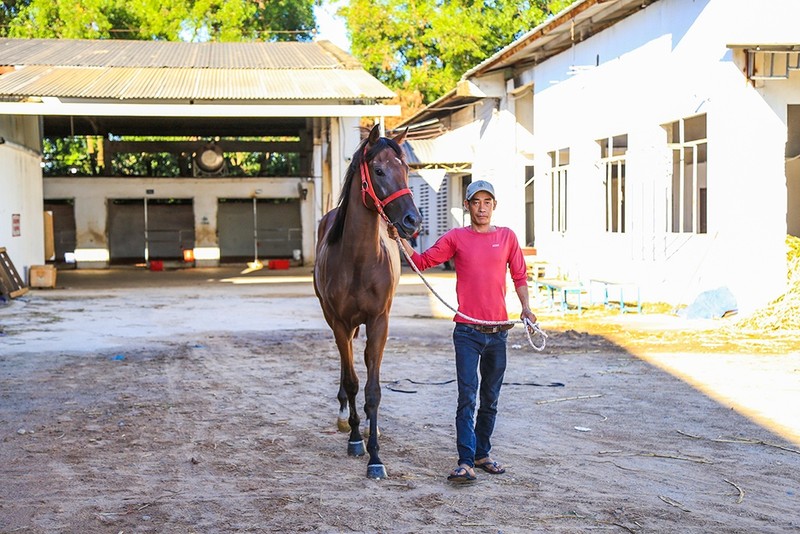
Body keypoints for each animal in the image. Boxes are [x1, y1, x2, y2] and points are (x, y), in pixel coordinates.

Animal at [314, 125, 424, 482]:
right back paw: (345, 418)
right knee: (346, 361)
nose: (412, 221)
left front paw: (375, 456)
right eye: (378, 170)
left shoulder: (379, 322)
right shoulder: (339, 321)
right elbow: (352, 382)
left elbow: (373, 391)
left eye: (406, 169)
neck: (359, 260)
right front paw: (354, 439)